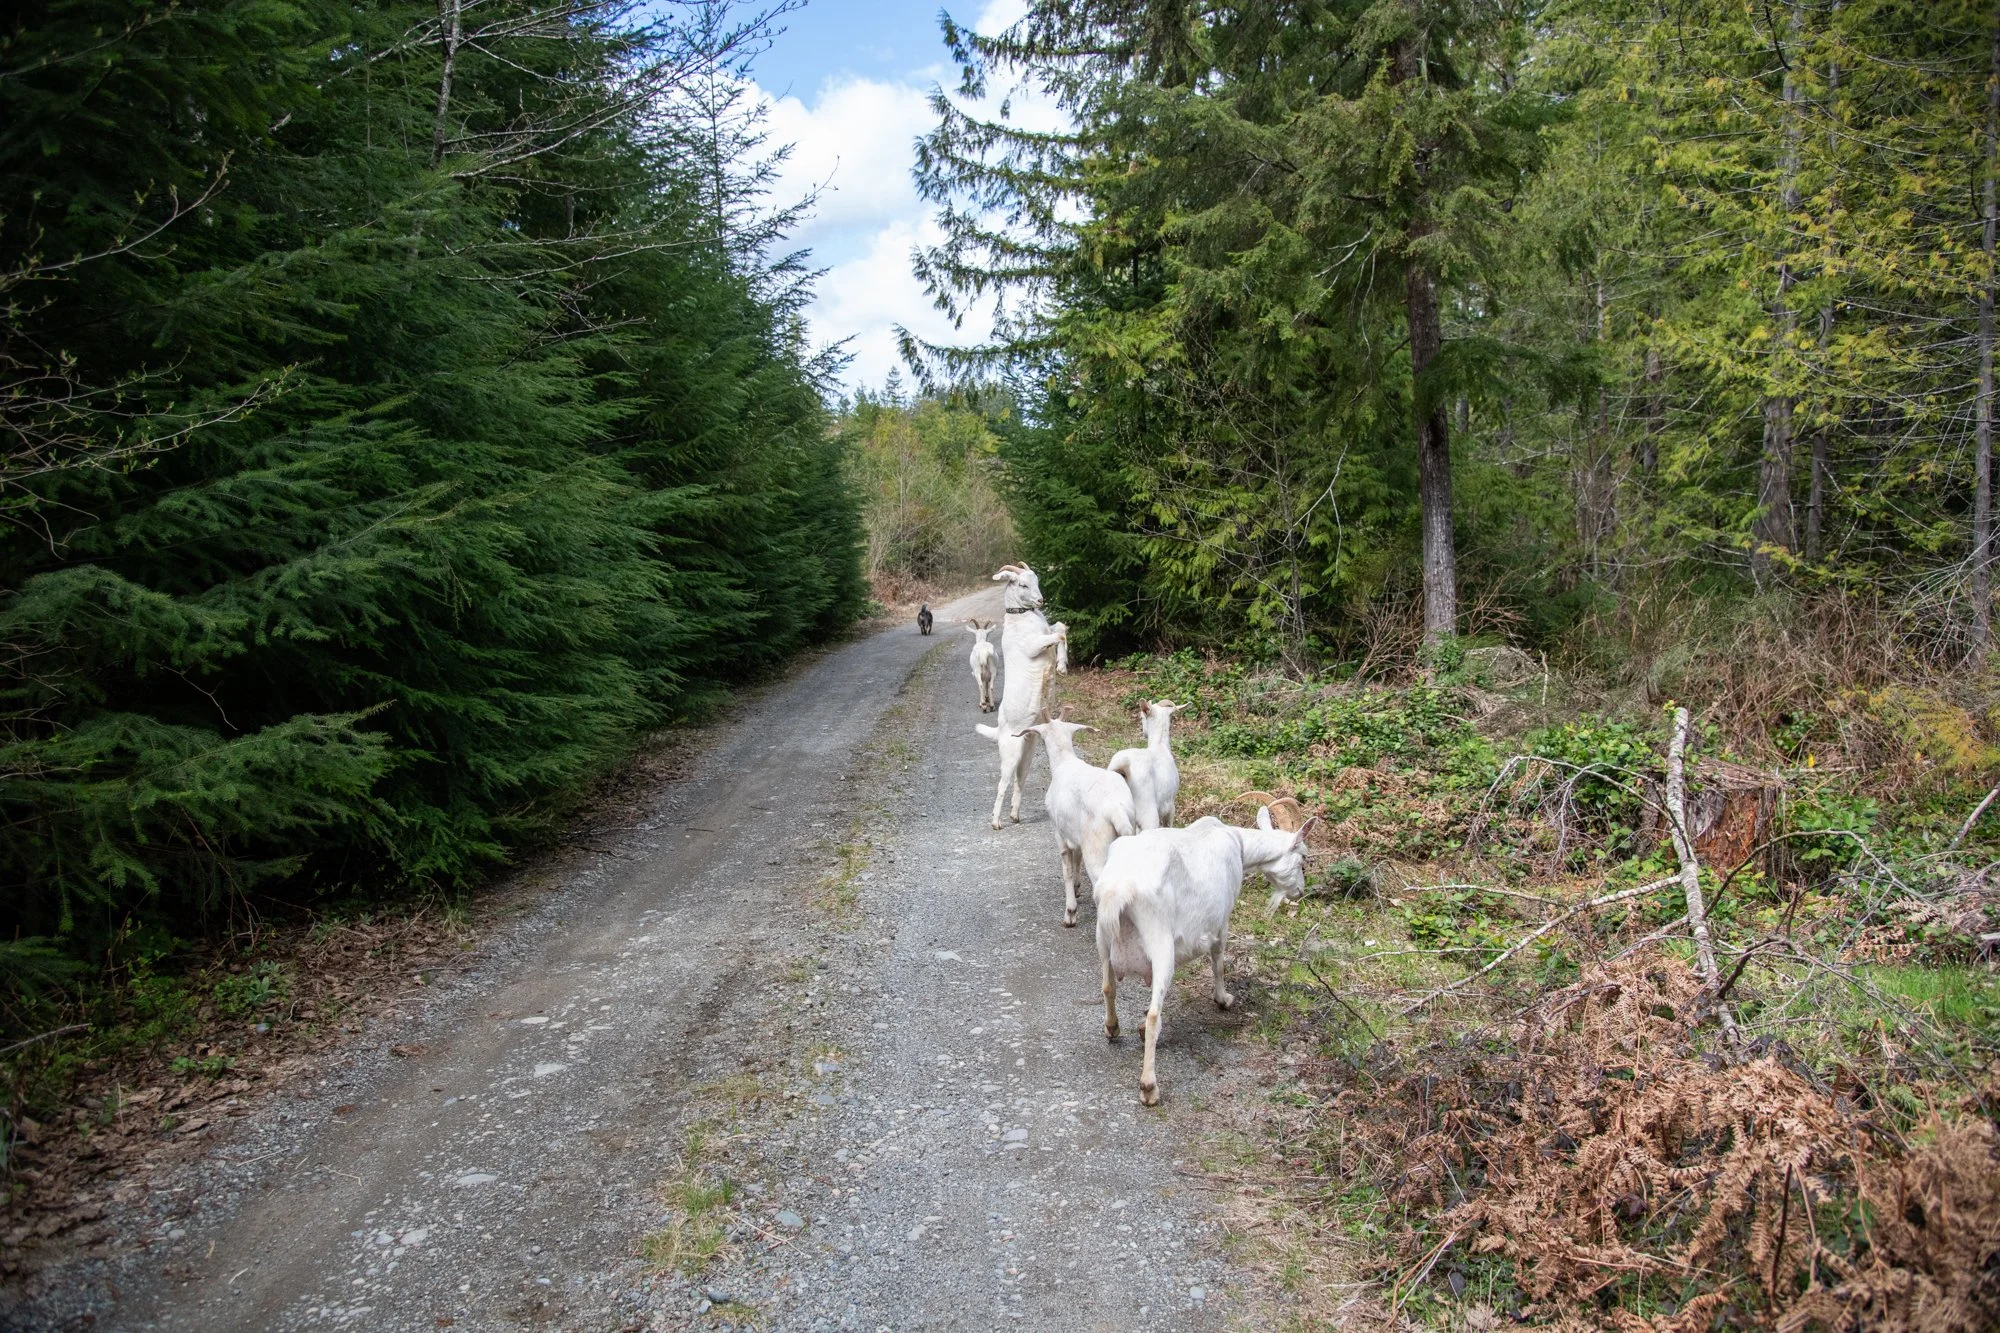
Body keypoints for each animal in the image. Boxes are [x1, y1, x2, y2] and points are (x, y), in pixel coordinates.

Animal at [974, 564, 1068, 828]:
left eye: (1036, 579)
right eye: (1022, 584)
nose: (1040, 600)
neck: (1022, 617)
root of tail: (1000, 731)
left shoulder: (1046, 632)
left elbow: (1061, 627)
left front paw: (1062, 665)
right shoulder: (1034, 645)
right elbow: (1059, 635)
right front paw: (1061, 665)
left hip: (1027, 753)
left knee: (1019, 780)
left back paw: (1015, 814)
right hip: (1010, 753)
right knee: (1002, 783)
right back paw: (996, 821)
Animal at [1017, 717, 1137, 927]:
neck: (1064, 761)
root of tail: (1117, 811)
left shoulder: (1060, 832)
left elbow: (1067, 869)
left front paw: (1070, 913)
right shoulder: (1076, 835)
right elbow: (1076, 859)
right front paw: (1077, 888)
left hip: (1096, 846)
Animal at [1094, 806, 1311, 1105]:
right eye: (1303, 859)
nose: (1300, 892)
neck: (1237, 843)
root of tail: (1119, 889)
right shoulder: (1221, 920)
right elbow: (1218, 960)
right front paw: (1223, 999)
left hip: (1103, 937)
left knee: (1108, 987)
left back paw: (1112, 1027)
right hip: (1160, 942)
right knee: (1154, 1016)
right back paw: (1149, 1086)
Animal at [1106, 700, 1180, 830]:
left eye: (1141, 717)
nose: (1143, 732)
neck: (1160, 745)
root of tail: (1125, 771)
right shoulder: (1170, 806)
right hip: (1148, 815)